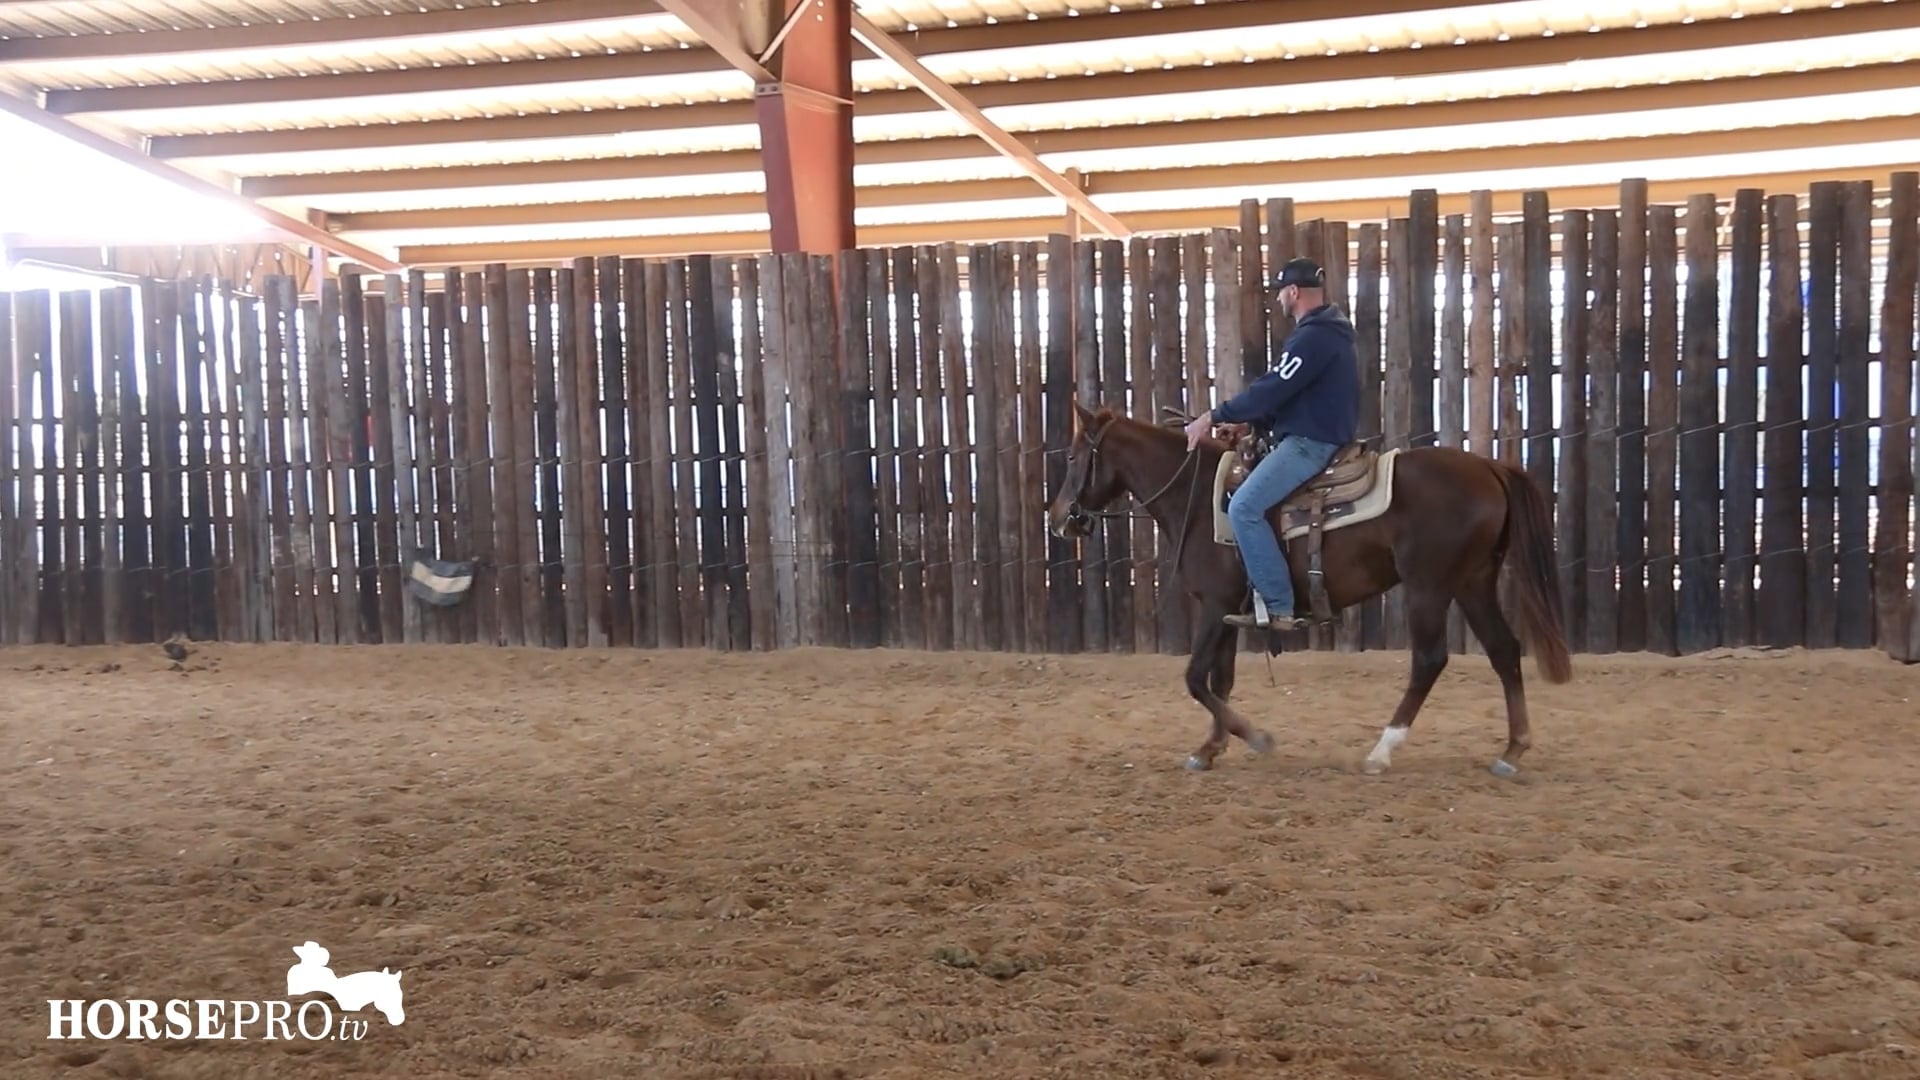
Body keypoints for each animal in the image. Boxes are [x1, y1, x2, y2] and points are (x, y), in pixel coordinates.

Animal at [1046, 400, 1573, 777]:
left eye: (1072, 456)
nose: (1059, 518)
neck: (1194, 500)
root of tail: (1489, 468)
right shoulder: (1230, 610)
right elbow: (1221, 680)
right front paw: (1210, 748)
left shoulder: (1214, 607)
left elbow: (1196, 678)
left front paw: (1256, 738)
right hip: (1473, 581)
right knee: (1504, 650)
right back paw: (1513, 750)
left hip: (1430, 586)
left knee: (1429, 660)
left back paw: (1382, 750)